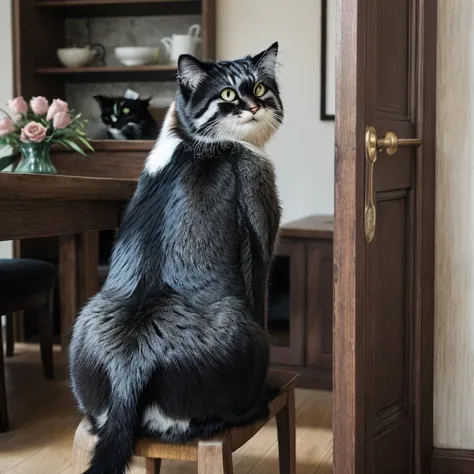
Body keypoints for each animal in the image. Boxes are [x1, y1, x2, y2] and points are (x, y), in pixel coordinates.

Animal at [68, 41, 284, 474]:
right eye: (228, 94)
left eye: (261, 87)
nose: (255, 105)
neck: (190, 140)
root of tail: (130, 368)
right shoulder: (261, 220)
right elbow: (263, 294)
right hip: (245, 331)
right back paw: (261, 401)